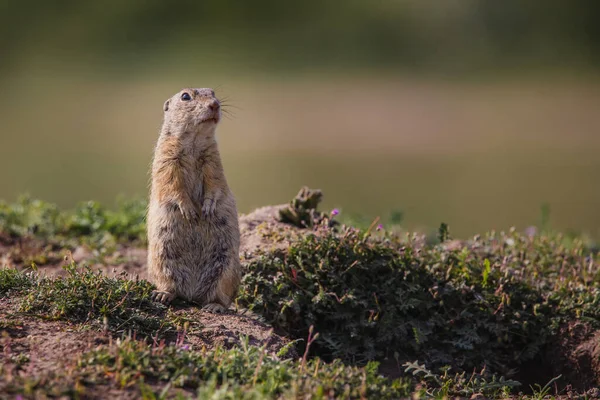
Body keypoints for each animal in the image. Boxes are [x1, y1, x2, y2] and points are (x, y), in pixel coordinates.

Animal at [146, 87, 240, 312]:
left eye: (213, 92)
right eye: (185, 96)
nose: (215, 104)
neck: (194, 142)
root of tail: (191, 295)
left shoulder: (213, 159)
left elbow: (215, 181)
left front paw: (207, 208)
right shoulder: (167, 158)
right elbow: (172, 183)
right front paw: (189, 211)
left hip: (227, 268)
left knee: (220, 296)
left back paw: (214, 306)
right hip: (161, 259)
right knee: (169, 285)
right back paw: (162, 294)